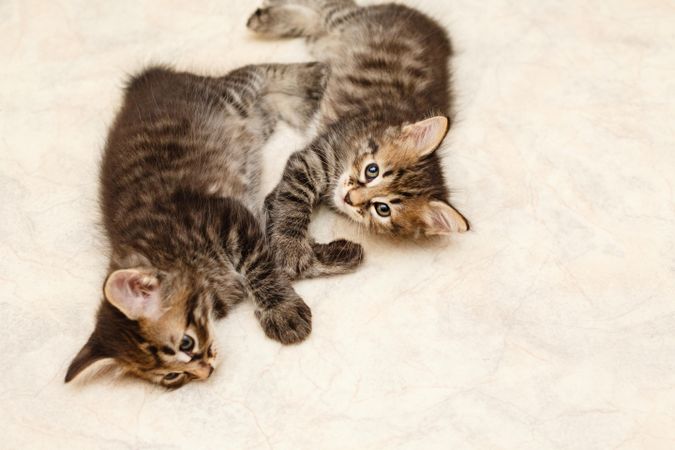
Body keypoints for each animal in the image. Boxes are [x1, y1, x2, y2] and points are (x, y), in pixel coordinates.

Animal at [64, 61, 328, 388]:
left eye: (186, 343)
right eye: (171, 376)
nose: (204, 372)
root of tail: (145, 81)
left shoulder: (229, 218)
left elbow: (262, 269)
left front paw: (282, 310)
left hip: (230, 96)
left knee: (258, 72)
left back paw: (312, 76)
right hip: (253, 121)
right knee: (266, 103)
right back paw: (298, 106)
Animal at [247, 0, 470, 282]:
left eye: (383, 209)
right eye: (371, 170)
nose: (350, 198)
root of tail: (432, 25)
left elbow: (279, 199)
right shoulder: (312, 157)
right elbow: (292, 203)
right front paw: (291, 247)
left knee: (315, 26)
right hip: (343, 20)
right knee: (329, 7)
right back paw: (266, 19)